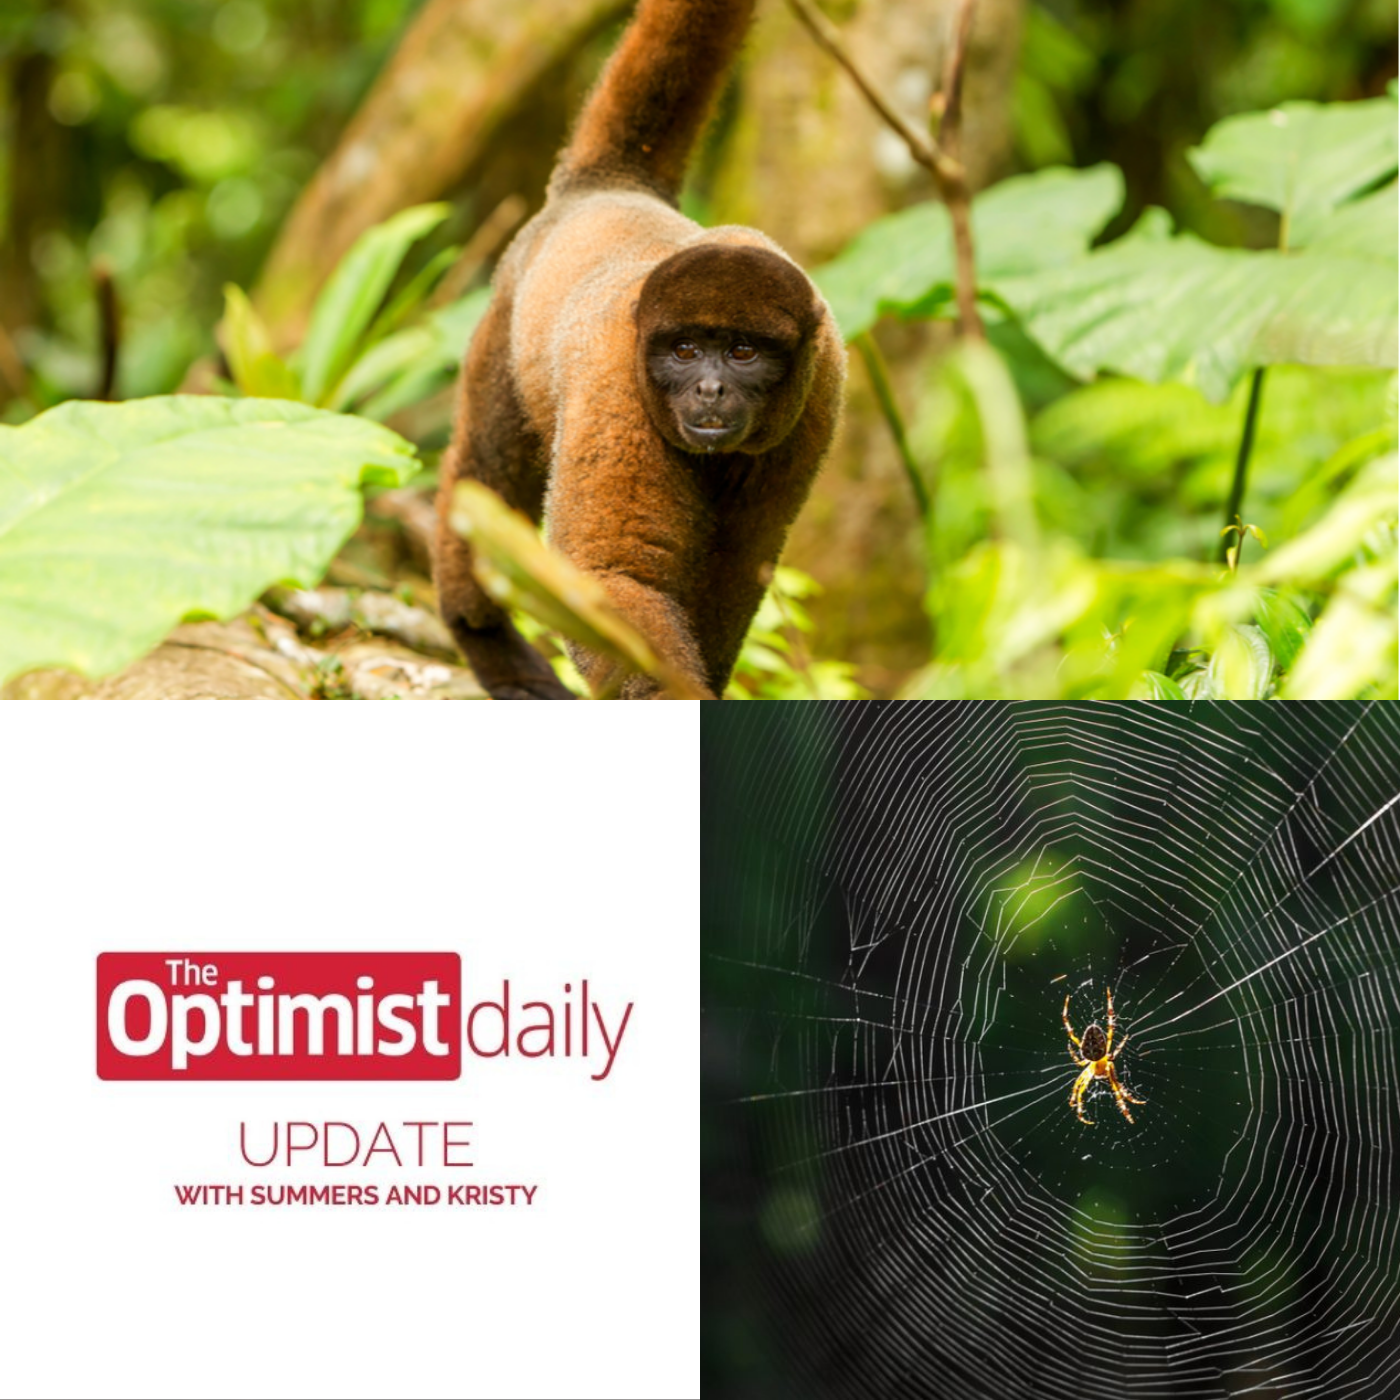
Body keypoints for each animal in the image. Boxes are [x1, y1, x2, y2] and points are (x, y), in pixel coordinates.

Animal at [433, 0, 845, 699]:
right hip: (502, 318)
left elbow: (741, 566)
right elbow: (612, 578)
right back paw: (485, 639)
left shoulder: (820, 393)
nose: (709, 387)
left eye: (742, 352)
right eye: (683, 351)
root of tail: (602, 189)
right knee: (483, 474)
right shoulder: (615, 380)